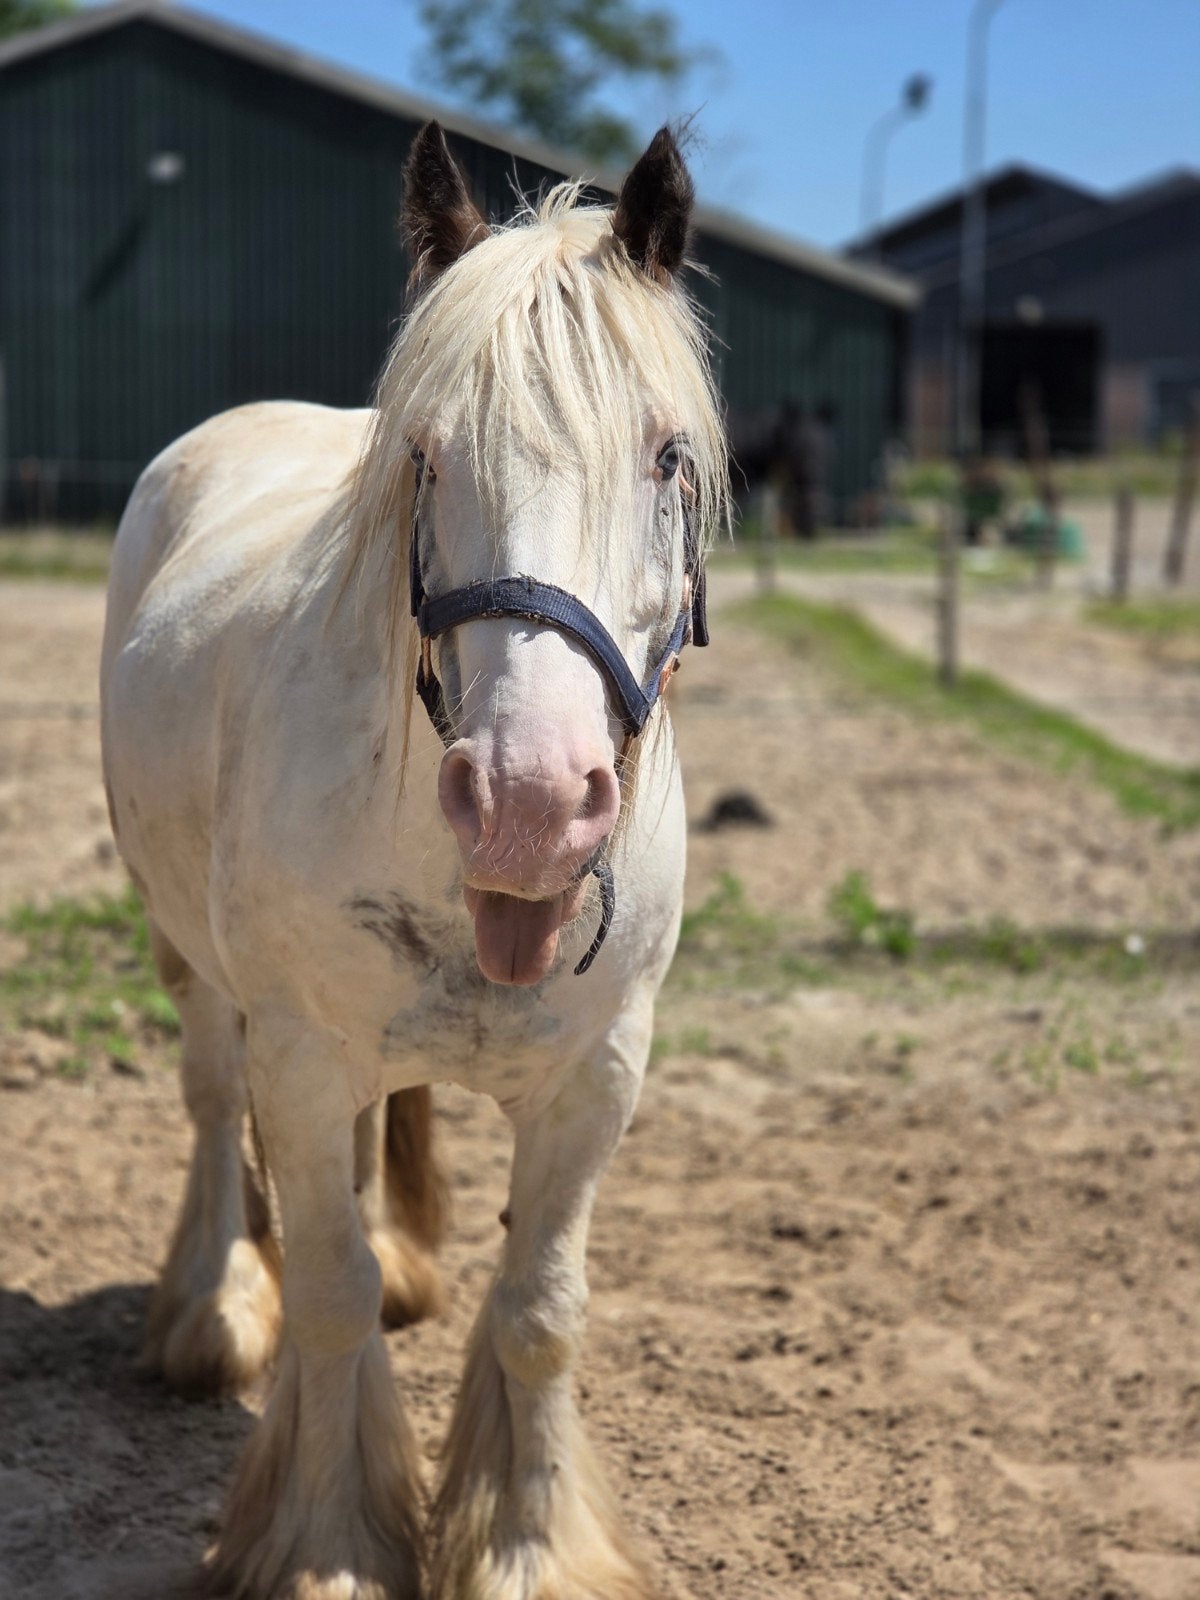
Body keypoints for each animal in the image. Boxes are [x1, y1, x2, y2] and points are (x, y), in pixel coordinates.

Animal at [99, 121, 728, 1600]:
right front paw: (328, 1545)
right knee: (210, 1103)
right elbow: (326, 1298)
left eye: (667, 458)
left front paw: (528, 1548)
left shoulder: (601, 1071)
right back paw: (211, 1308)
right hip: (187, 956)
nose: (530, 801)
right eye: (430, 460)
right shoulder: (301, 1055)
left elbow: (541, 1311)